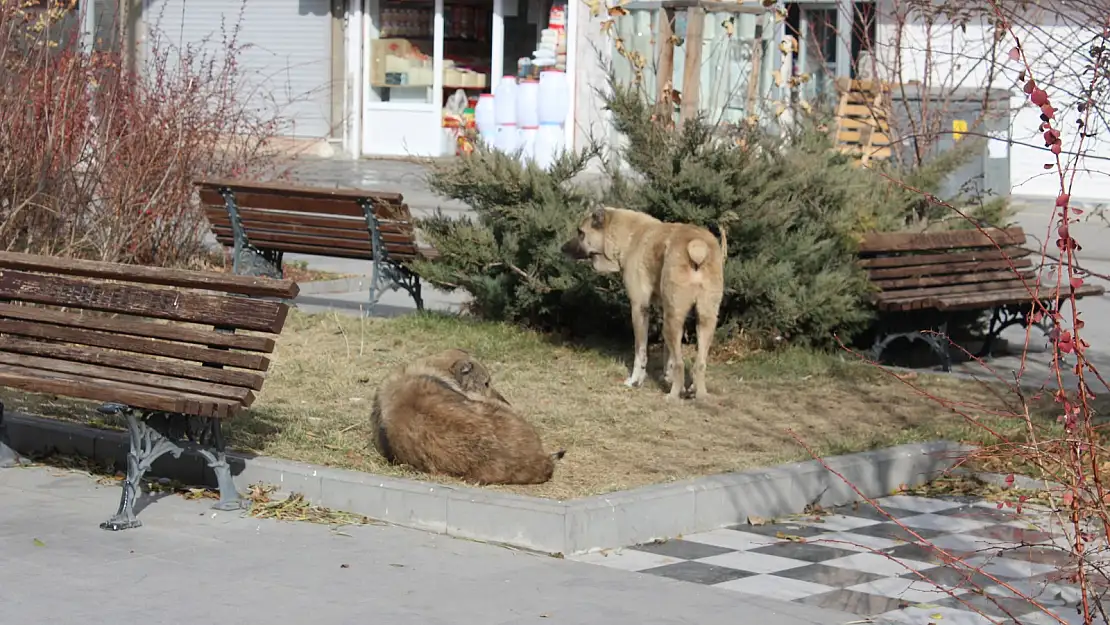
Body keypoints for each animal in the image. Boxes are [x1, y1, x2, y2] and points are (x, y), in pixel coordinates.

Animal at [563, 206, 728, 401]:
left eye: (580, 232)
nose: (562, 248)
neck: (629, 235)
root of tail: (698, 245)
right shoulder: (665, 310)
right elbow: (668, 353)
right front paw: (668, 377)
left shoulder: (639, 308)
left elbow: (640, 351)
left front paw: (635, 381)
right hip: (704, 319)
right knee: (699, 363)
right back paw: (698, 393)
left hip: (674, 319)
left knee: (680, 364)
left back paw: (673, 396)